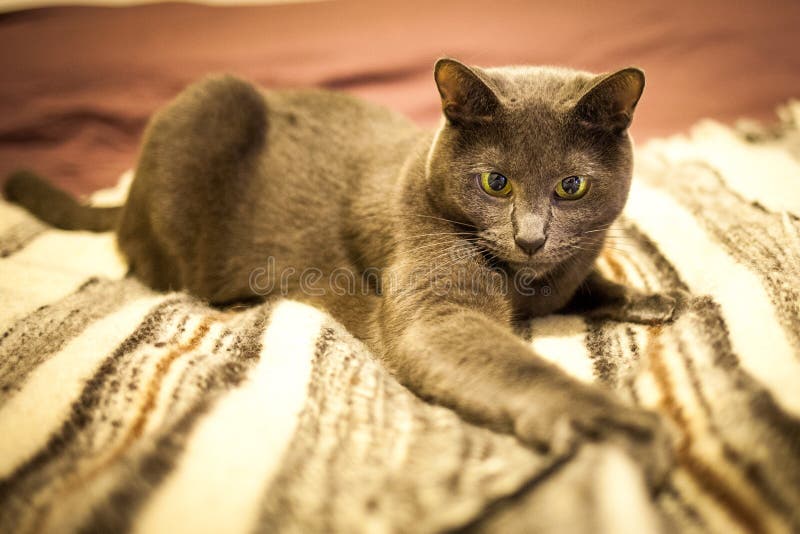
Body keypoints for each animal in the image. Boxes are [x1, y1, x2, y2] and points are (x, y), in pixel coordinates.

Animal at [4, 57, 676, 490]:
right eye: (495, 182)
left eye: (571, 187)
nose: (530, 237)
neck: (528, 284)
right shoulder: (437, 309)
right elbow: (517, 364)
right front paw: (626, 429)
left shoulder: (565, 269)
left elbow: (586, 281)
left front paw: (650, 297)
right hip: (206, 114)